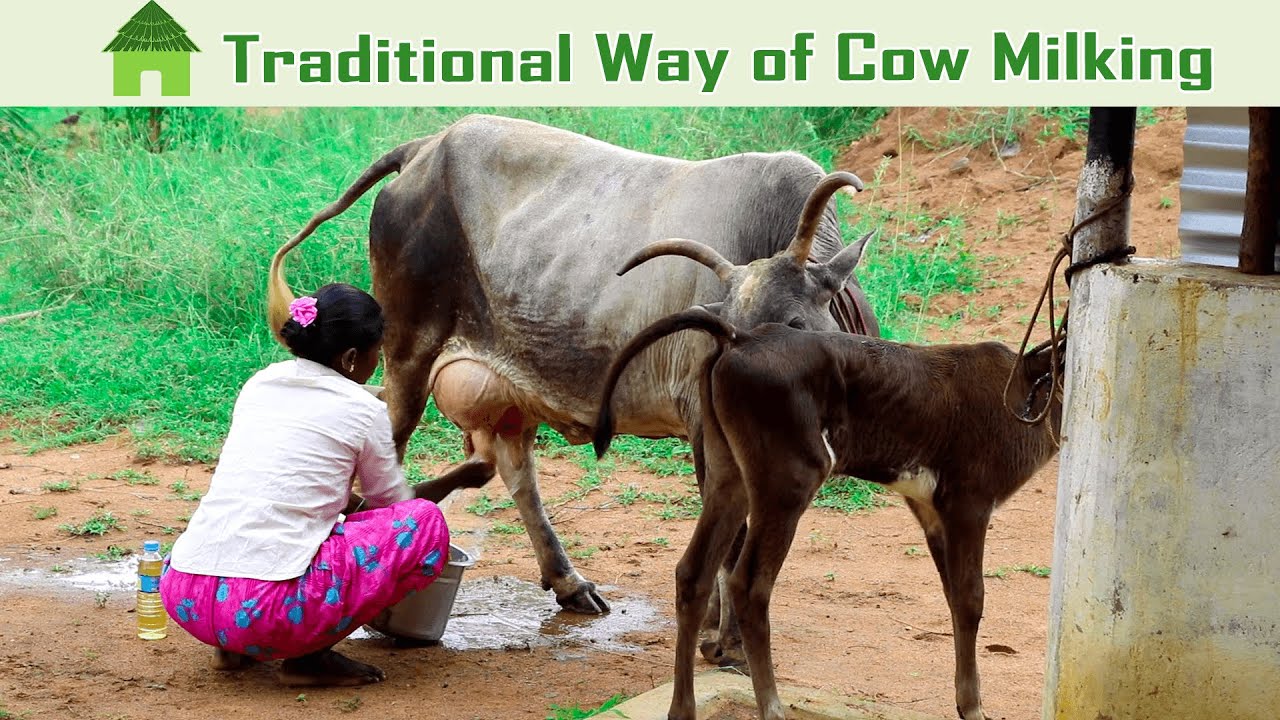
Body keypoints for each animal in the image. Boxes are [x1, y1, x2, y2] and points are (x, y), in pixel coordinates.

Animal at [264, 114, 880, 625]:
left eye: (793, 325)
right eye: (725, 332)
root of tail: (426, 147)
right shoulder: (707, 425)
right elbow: (730, 539)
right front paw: (720, 638)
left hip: (510, 390)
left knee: (510, 470)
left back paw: (568, 582)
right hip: (408, 353)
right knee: (398, 447)